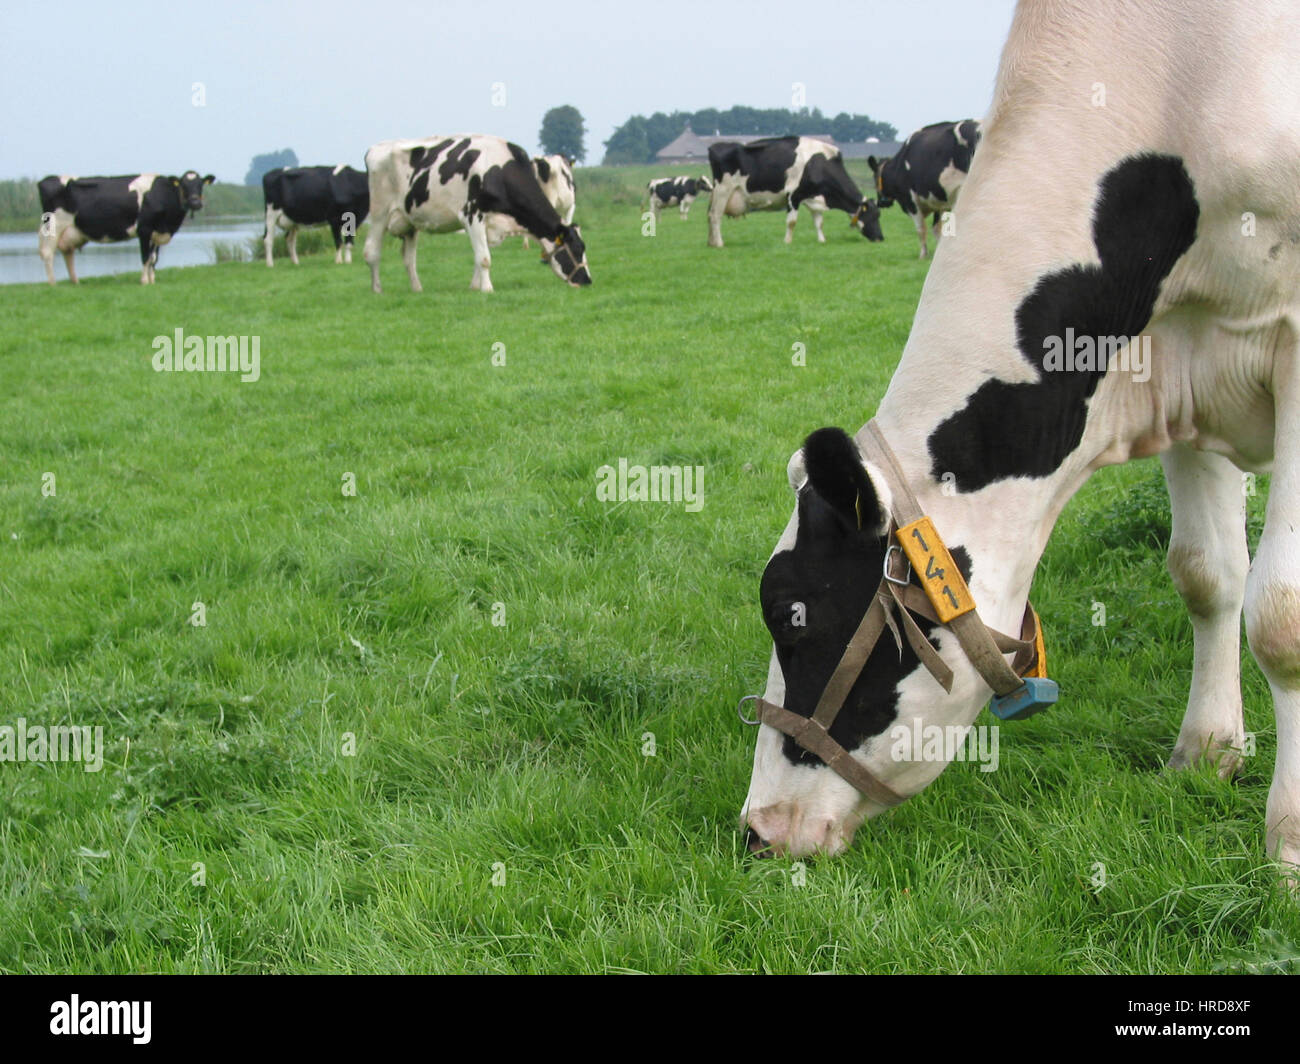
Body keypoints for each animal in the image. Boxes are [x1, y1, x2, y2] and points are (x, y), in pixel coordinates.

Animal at [37, 167, 213, 282]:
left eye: (200, 184)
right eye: (183, 185)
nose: (196, 203)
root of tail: (46, 179)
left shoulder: (157, 232)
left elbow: (154, 258)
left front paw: (152, 280)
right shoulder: (144, 230)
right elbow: (145, 257)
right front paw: (144, 281)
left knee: (67, 253)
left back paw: (75, 282)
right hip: (52, 227)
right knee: (48, 253)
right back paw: (53, 284)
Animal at [364, 133, 592, 290]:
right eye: (577, 249)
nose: (588, 280)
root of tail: (374, 149)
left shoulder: (490, 224)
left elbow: (479, 256)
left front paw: (475, 287)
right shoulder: (471, 215)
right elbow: (484, 258)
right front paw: (487, 289)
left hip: (410, 223)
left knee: (409, 259)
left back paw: (417, 289)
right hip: (379, 214)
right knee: (371, 251)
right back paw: (377, 289)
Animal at [712, 136, 883, 248]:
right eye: (873, 216)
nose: (880, 238)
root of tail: (717, 146)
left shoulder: (814, 196)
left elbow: (819, 222)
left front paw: (822, 241)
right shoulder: (793, 195)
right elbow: (791, 222)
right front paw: (787, 242)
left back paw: (711, 242)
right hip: (722, 191)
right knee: (715, 217)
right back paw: (719, 243)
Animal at [868, 119, 977, 257]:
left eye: (874, 178)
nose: (881, 202)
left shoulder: (911, 201)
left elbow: (921, 229)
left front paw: (923, 254)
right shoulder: (939, 201)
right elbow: (937, 229)